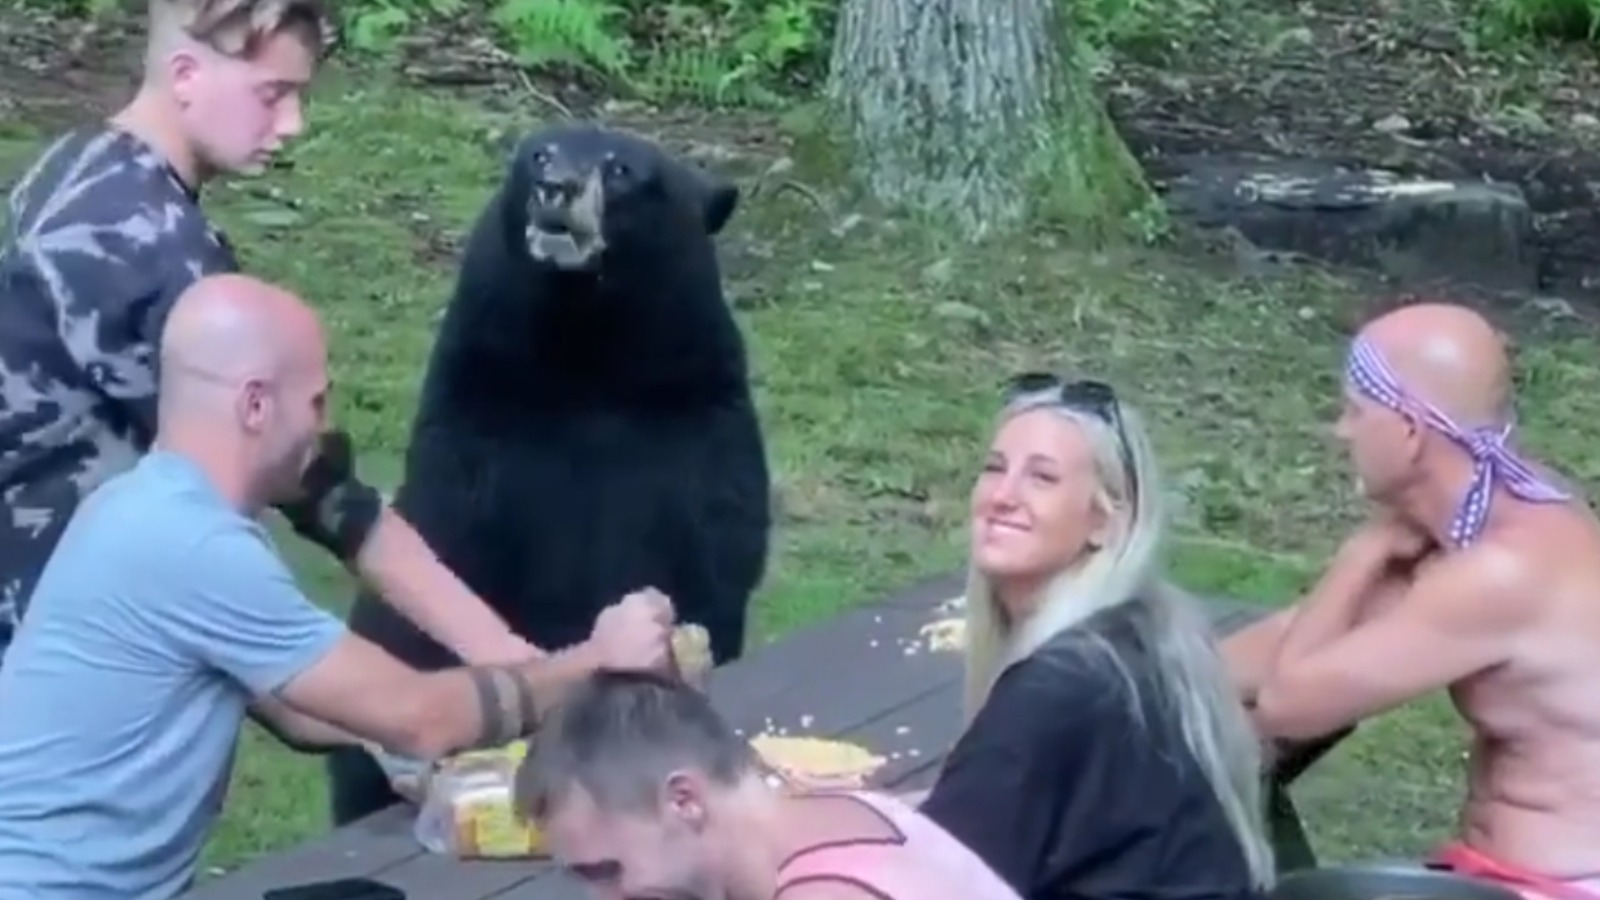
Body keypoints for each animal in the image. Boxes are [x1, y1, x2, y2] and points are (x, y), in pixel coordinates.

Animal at [321, 122, 771, 826]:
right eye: (539, 152)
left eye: (620, 169)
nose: (554, 187)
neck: (583, 358)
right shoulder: (478, 425)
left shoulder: (699, 427)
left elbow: (718, 546)